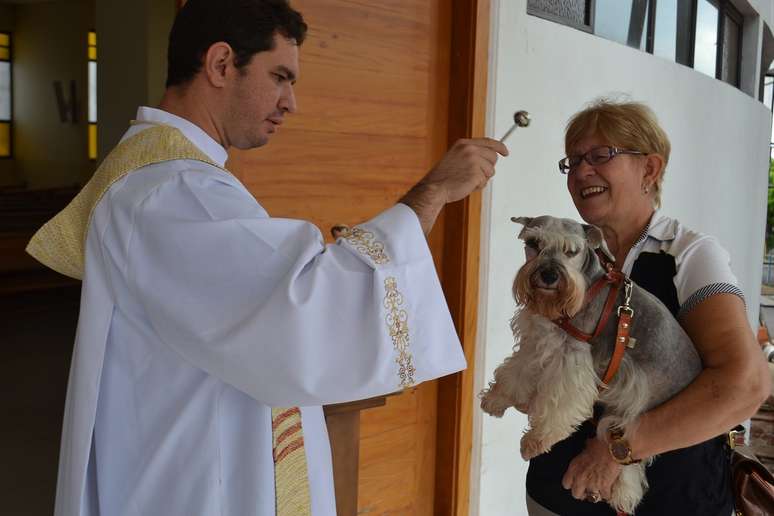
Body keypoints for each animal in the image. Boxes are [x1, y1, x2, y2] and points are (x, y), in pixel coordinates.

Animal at [478, 216, 704, 512]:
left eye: (572, 251)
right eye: (534, 243)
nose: (548, 276)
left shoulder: (571, 357)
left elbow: (560, 404)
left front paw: (535, 441)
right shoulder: (540, 342)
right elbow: (516, 371)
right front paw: (495, 399)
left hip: (633, 406)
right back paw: (624, 494)